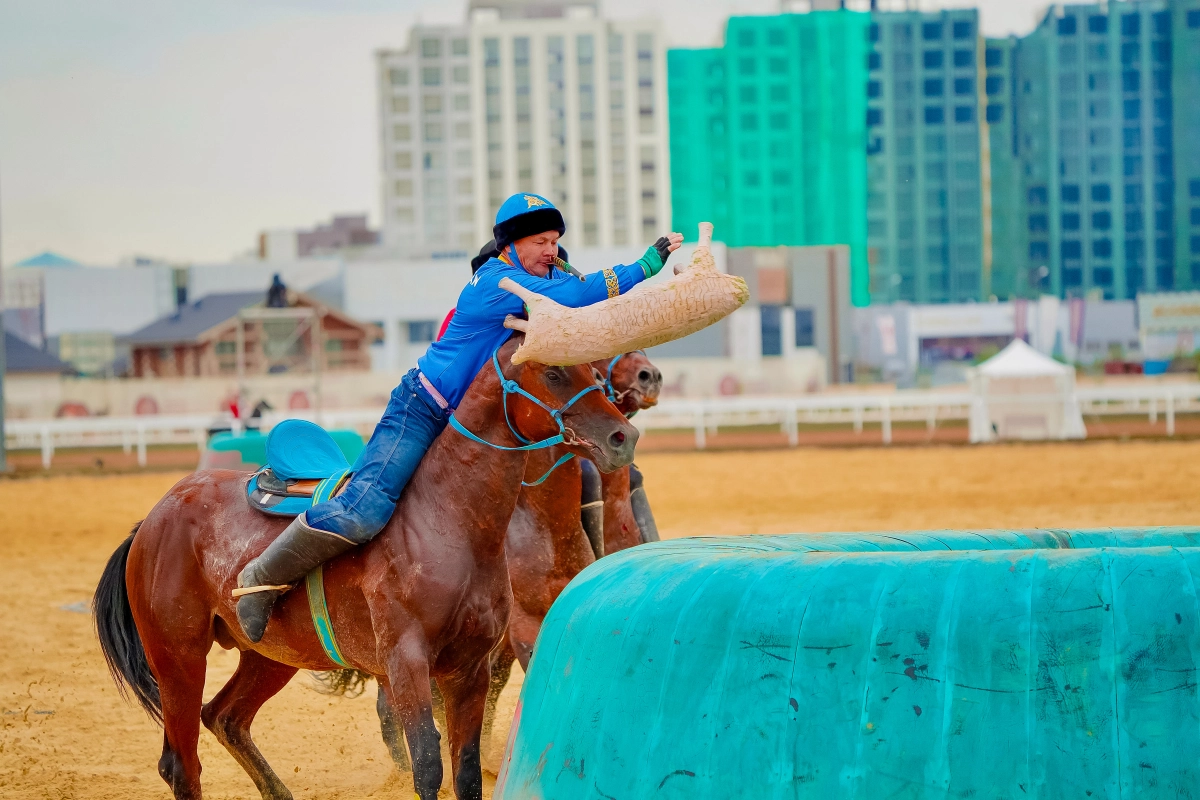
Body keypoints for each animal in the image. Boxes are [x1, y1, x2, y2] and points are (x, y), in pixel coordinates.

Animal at [93, 335, 638, 800]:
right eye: (554, 373)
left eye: (594, 370)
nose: (623, 436)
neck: (447, 521)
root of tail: (155, 518)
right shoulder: (407, 663)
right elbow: (428, 765)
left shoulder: (469, 668)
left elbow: (464, 768)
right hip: (179, 658)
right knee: (182, 765)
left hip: (270, 657)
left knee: (225, 718)